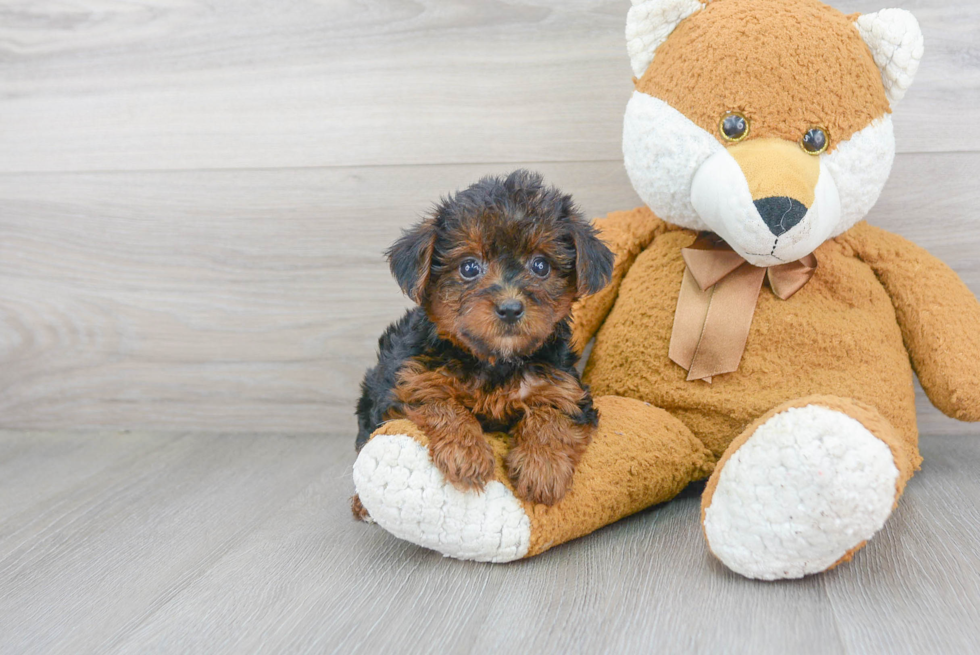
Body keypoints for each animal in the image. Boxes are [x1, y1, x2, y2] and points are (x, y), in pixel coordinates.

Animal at [352, 169, 612, 508]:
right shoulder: (412, 383)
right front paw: (466, 454)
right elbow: (441, 405)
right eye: (469, 267)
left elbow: (553, 414)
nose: (510, 308)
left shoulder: (564, 388)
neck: (494, 361)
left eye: (541, 265)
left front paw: (543, 466)